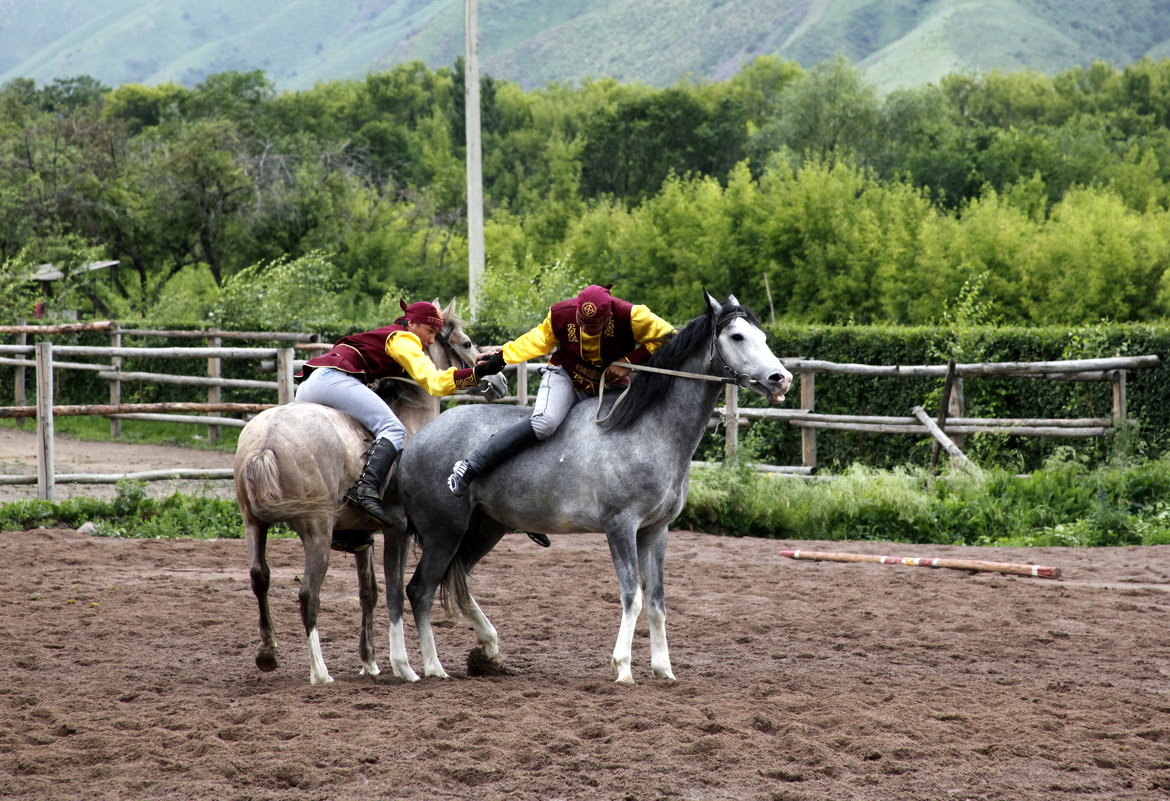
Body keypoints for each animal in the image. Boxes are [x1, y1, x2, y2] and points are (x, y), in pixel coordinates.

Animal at [235, 297, 496, 682]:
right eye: (466, 343)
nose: (498, 379)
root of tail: (266, 441)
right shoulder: (399, 531)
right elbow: (395, 594)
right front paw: (404, 665)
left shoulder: (364, 537)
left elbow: (369, 592)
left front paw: (370, 661)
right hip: (317, 531)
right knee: (308, 594)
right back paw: (320, 672)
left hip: (255, 525)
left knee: (260, 578)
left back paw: (268, 652)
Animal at [395, 289, 795, 682]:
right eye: (737, 336)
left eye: (762, 336)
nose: (781, 379)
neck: (646, 430)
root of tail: (415, 441)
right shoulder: (620, 527)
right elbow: (632, 596)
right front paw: (623, 667)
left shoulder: (655, 531)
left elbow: (656, 600)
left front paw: (663, 669)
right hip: (444, 532)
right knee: (420, 590)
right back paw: (430, 666)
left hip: (484, 529)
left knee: (456, 581)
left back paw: (488, 650)